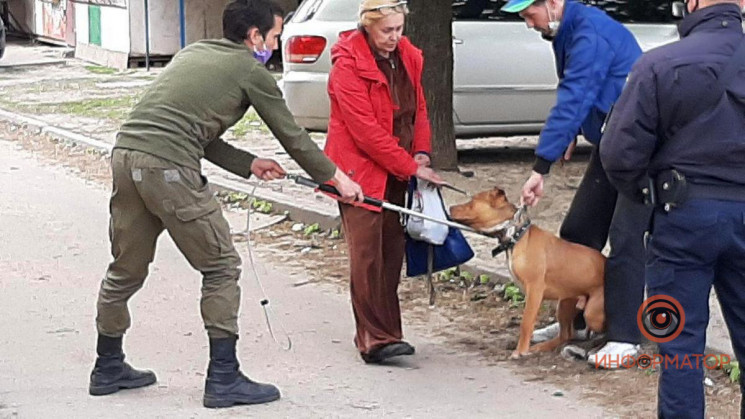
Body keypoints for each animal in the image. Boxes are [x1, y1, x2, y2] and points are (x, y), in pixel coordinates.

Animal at [448, 189, 604, 360]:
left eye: (472, 201)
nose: (450, 208)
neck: (517, 236)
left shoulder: (534, 290)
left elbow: (526, 323)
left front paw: (520, 351)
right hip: (566, 302)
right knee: (566, 334)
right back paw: (542, 347)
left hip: (592, 312)